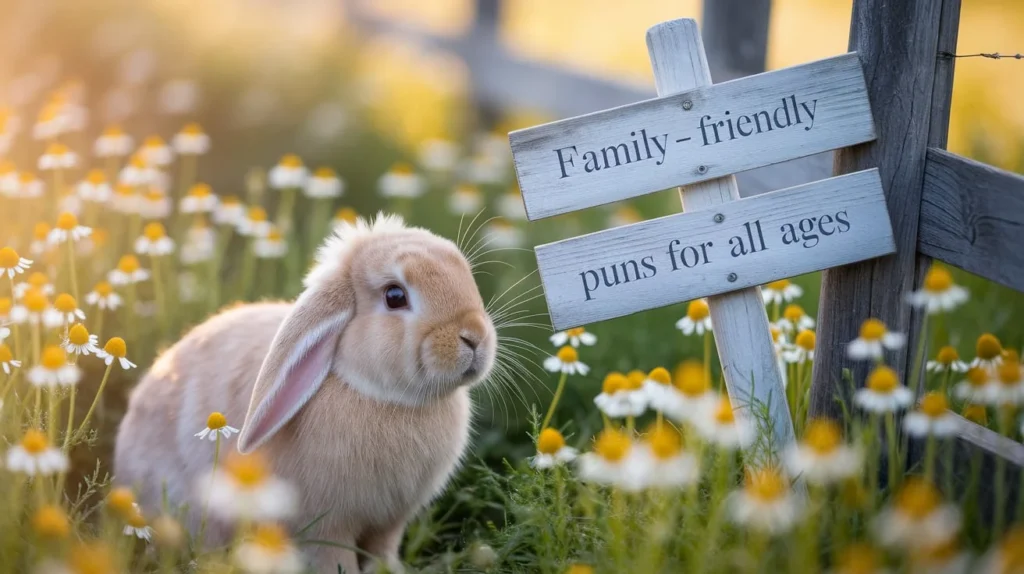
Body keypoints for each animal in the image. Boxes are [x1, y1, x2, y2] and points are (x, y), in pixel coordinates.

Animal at [114, 213, 497, 573]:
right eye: (395, 296)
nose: (474, 337)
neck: (383, 397)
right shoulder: (325, 525)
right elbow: (334, 559)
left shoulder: (390, 522)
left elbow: (383, 551)